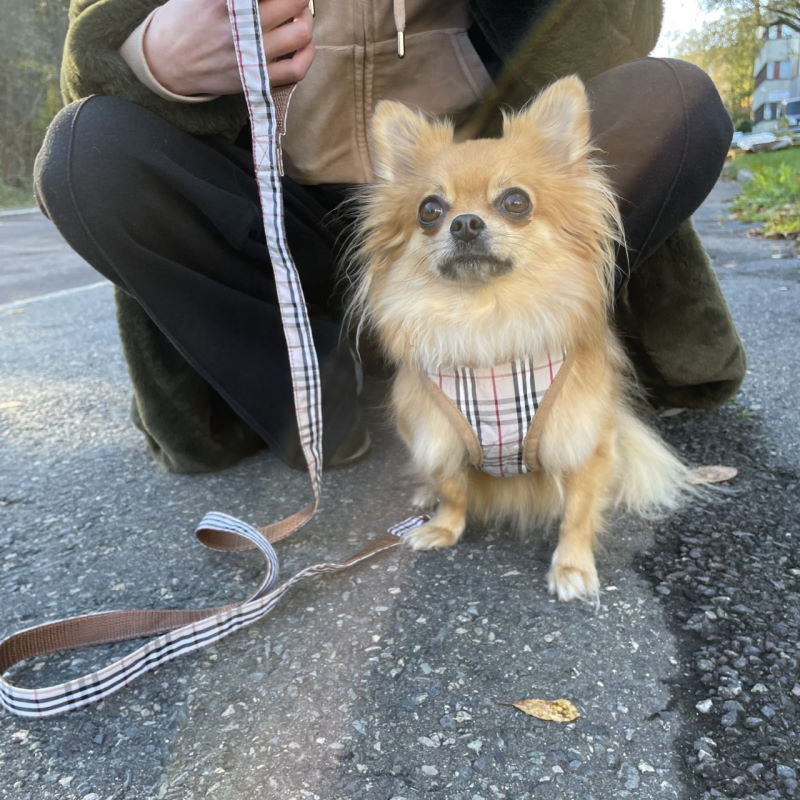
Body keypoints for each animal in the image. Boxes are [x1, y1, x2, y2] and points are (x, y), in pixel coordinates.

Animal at [346, 76, 692, 600]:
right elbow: (453, 489)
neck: (487, 322)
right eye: (430, 210)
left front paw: (572, 567)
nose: (465, 223)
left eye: (515, 202)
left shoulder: (582, 441)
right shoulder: (438, 433)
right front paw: (444, 527)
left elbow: (576, 512)